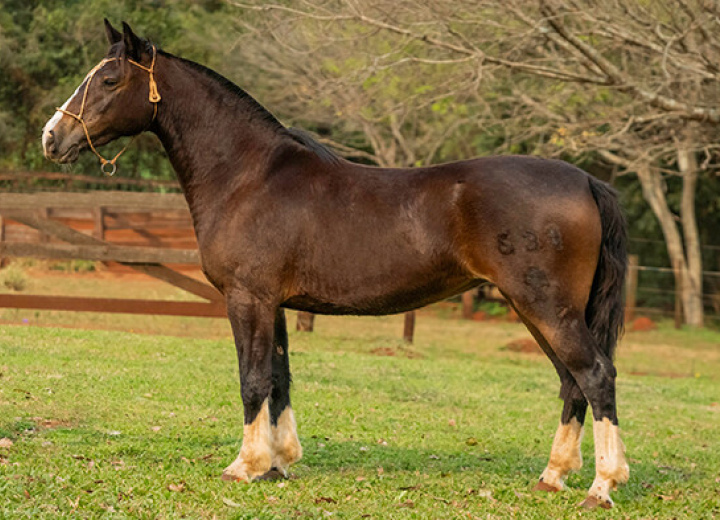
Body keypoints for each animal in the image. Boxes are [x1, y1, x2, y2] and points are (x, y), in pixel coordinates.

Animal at [42, 20, 632, 508]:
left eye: (110, 79)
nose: (52, 137)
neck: (249, 176)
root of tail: (585, 179)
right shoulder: (275, 303)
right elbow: (279, 377)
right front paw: (278, 464)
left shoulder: (248, 298)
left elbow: (252, 379)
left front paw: (244, 465)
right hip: (537, 309)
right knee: (572, 383)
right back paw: (553, 476)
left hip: (547, 307)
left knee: (595, 376)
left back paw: (602, 486)